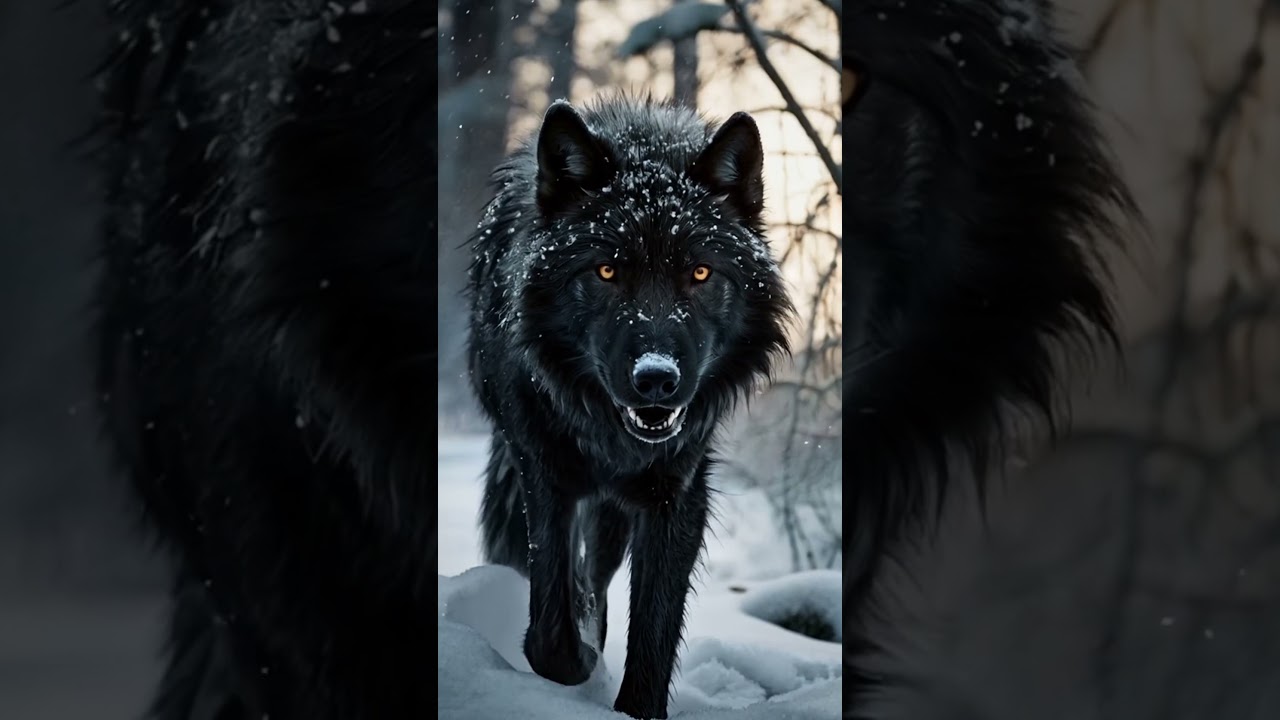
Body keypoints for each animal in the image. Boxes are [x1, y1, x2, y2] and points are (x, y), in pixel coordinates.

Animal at [465, 96, 794, 719]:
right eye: (607, 271)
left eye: (700, 272)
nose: (657, 380)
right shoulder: (544, 473)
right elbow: (550, 632)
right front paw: (577, 660)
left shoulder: (675, 494)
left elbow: (655, 627)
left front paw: (634, 701)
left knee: (599, 576)